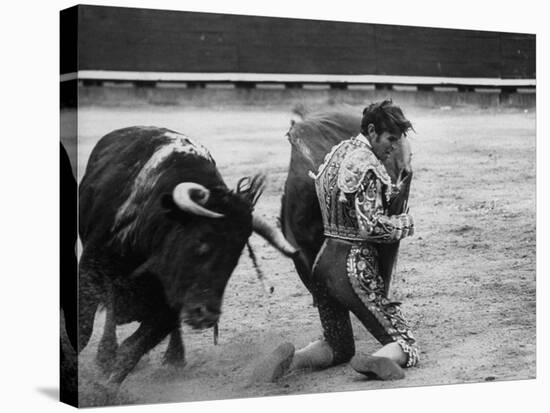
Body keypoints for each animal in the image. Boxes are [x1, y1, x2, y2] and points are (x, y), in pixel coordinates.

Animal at [78, 125, 298, 384]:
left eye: (236, 256)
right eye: (202, 243)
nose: (207, 315)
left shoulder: (169, 307)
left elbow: (132, 350)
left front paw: (103, 389)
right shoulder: (89, 273)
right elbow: (83, 331)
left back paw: (174, 358)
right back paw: (105, 356)